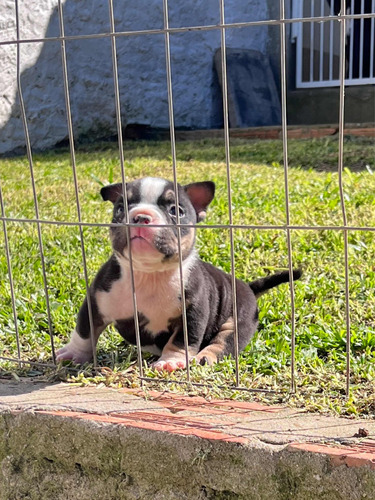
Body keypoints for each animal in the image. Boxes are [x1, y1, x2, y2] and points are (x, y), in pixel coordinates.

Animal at [56, 177, 302, 372]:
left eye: (176, 210)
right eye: (120, 208)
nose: (141, 216)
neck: (149, 273)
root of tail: (248, 287)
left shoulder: (192, 312)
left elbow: (182, 340)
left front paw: (170, 361)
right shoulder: (96, 300)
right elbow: (84, 331)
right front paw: (73, 353)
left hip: (237, 320)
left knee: (224, 342)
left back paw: (205, 357)